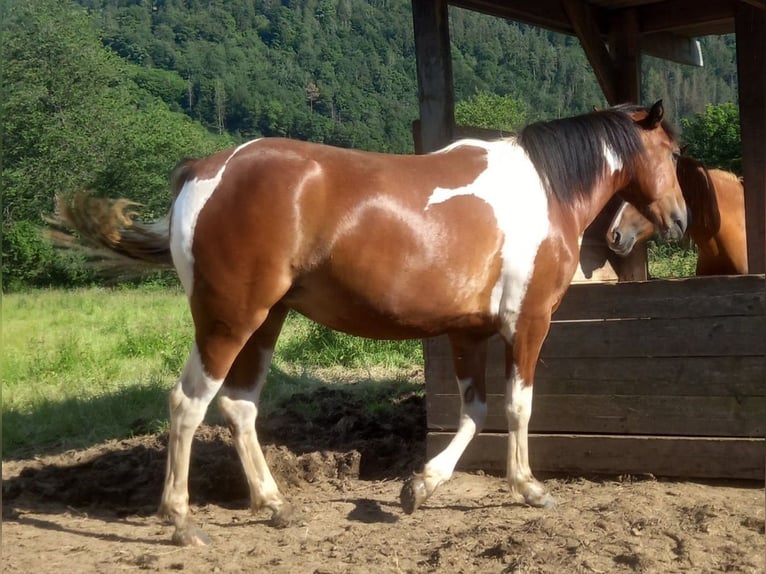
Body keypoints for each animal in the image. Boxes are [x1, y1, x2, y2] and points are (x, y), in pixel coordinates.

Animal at [55, 101, 688, 548]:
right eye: (673, 153)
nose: (680, 218)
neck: (543, 189)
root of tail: (202, 172)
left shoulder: (468, 332)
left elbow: (475, 412)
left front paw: (419, 487)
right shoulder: (526, 323)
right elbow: (517, 407)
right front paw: (528, 488)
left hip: (264, 323)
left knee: (238, 407)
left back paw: (275, 505)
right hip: (228, 321)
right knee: (189, 403)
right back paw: (183, 522)